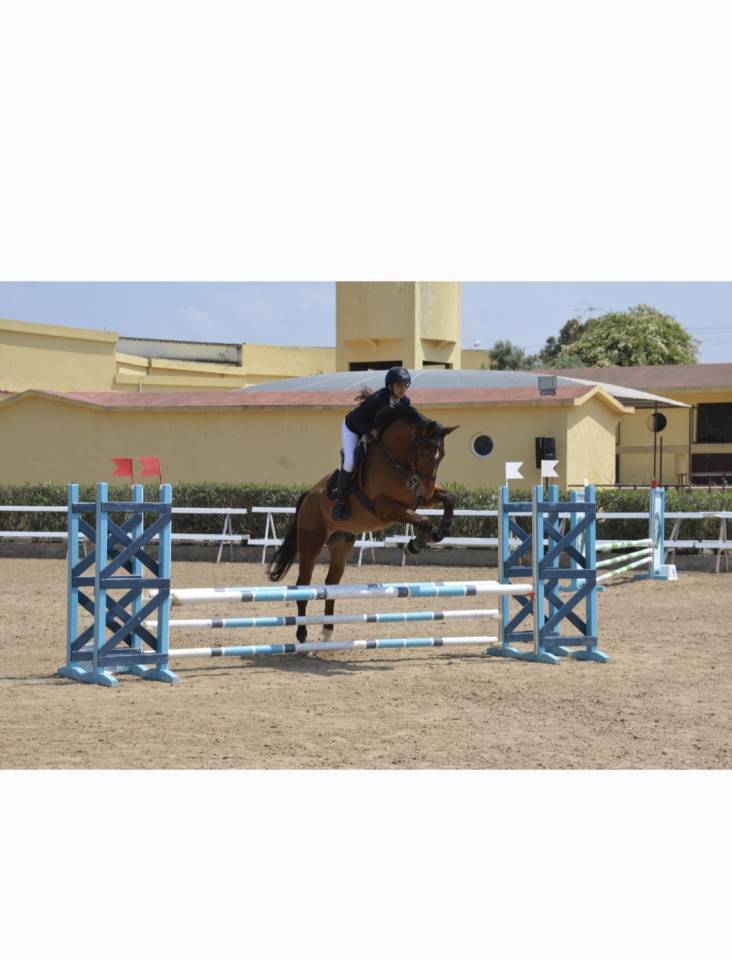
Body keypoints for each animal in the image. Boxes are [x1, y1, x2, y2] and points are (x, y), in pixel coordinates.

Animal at [266, 404, 458, 642]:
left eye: (442, 456)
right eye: (423, 451)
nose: (425, 491)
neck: (397, 460)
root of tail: (309, 495)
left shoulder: (415, 500)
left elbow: (449, 498)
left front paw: (441, 531)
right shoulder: (386, 508)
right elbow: (424, 520)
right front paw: (415, 544)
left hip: (341, 544)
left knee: (331, 583)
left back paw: (327, 629)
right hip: (311, 543)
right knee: (303, 585)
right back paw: (302, 634)